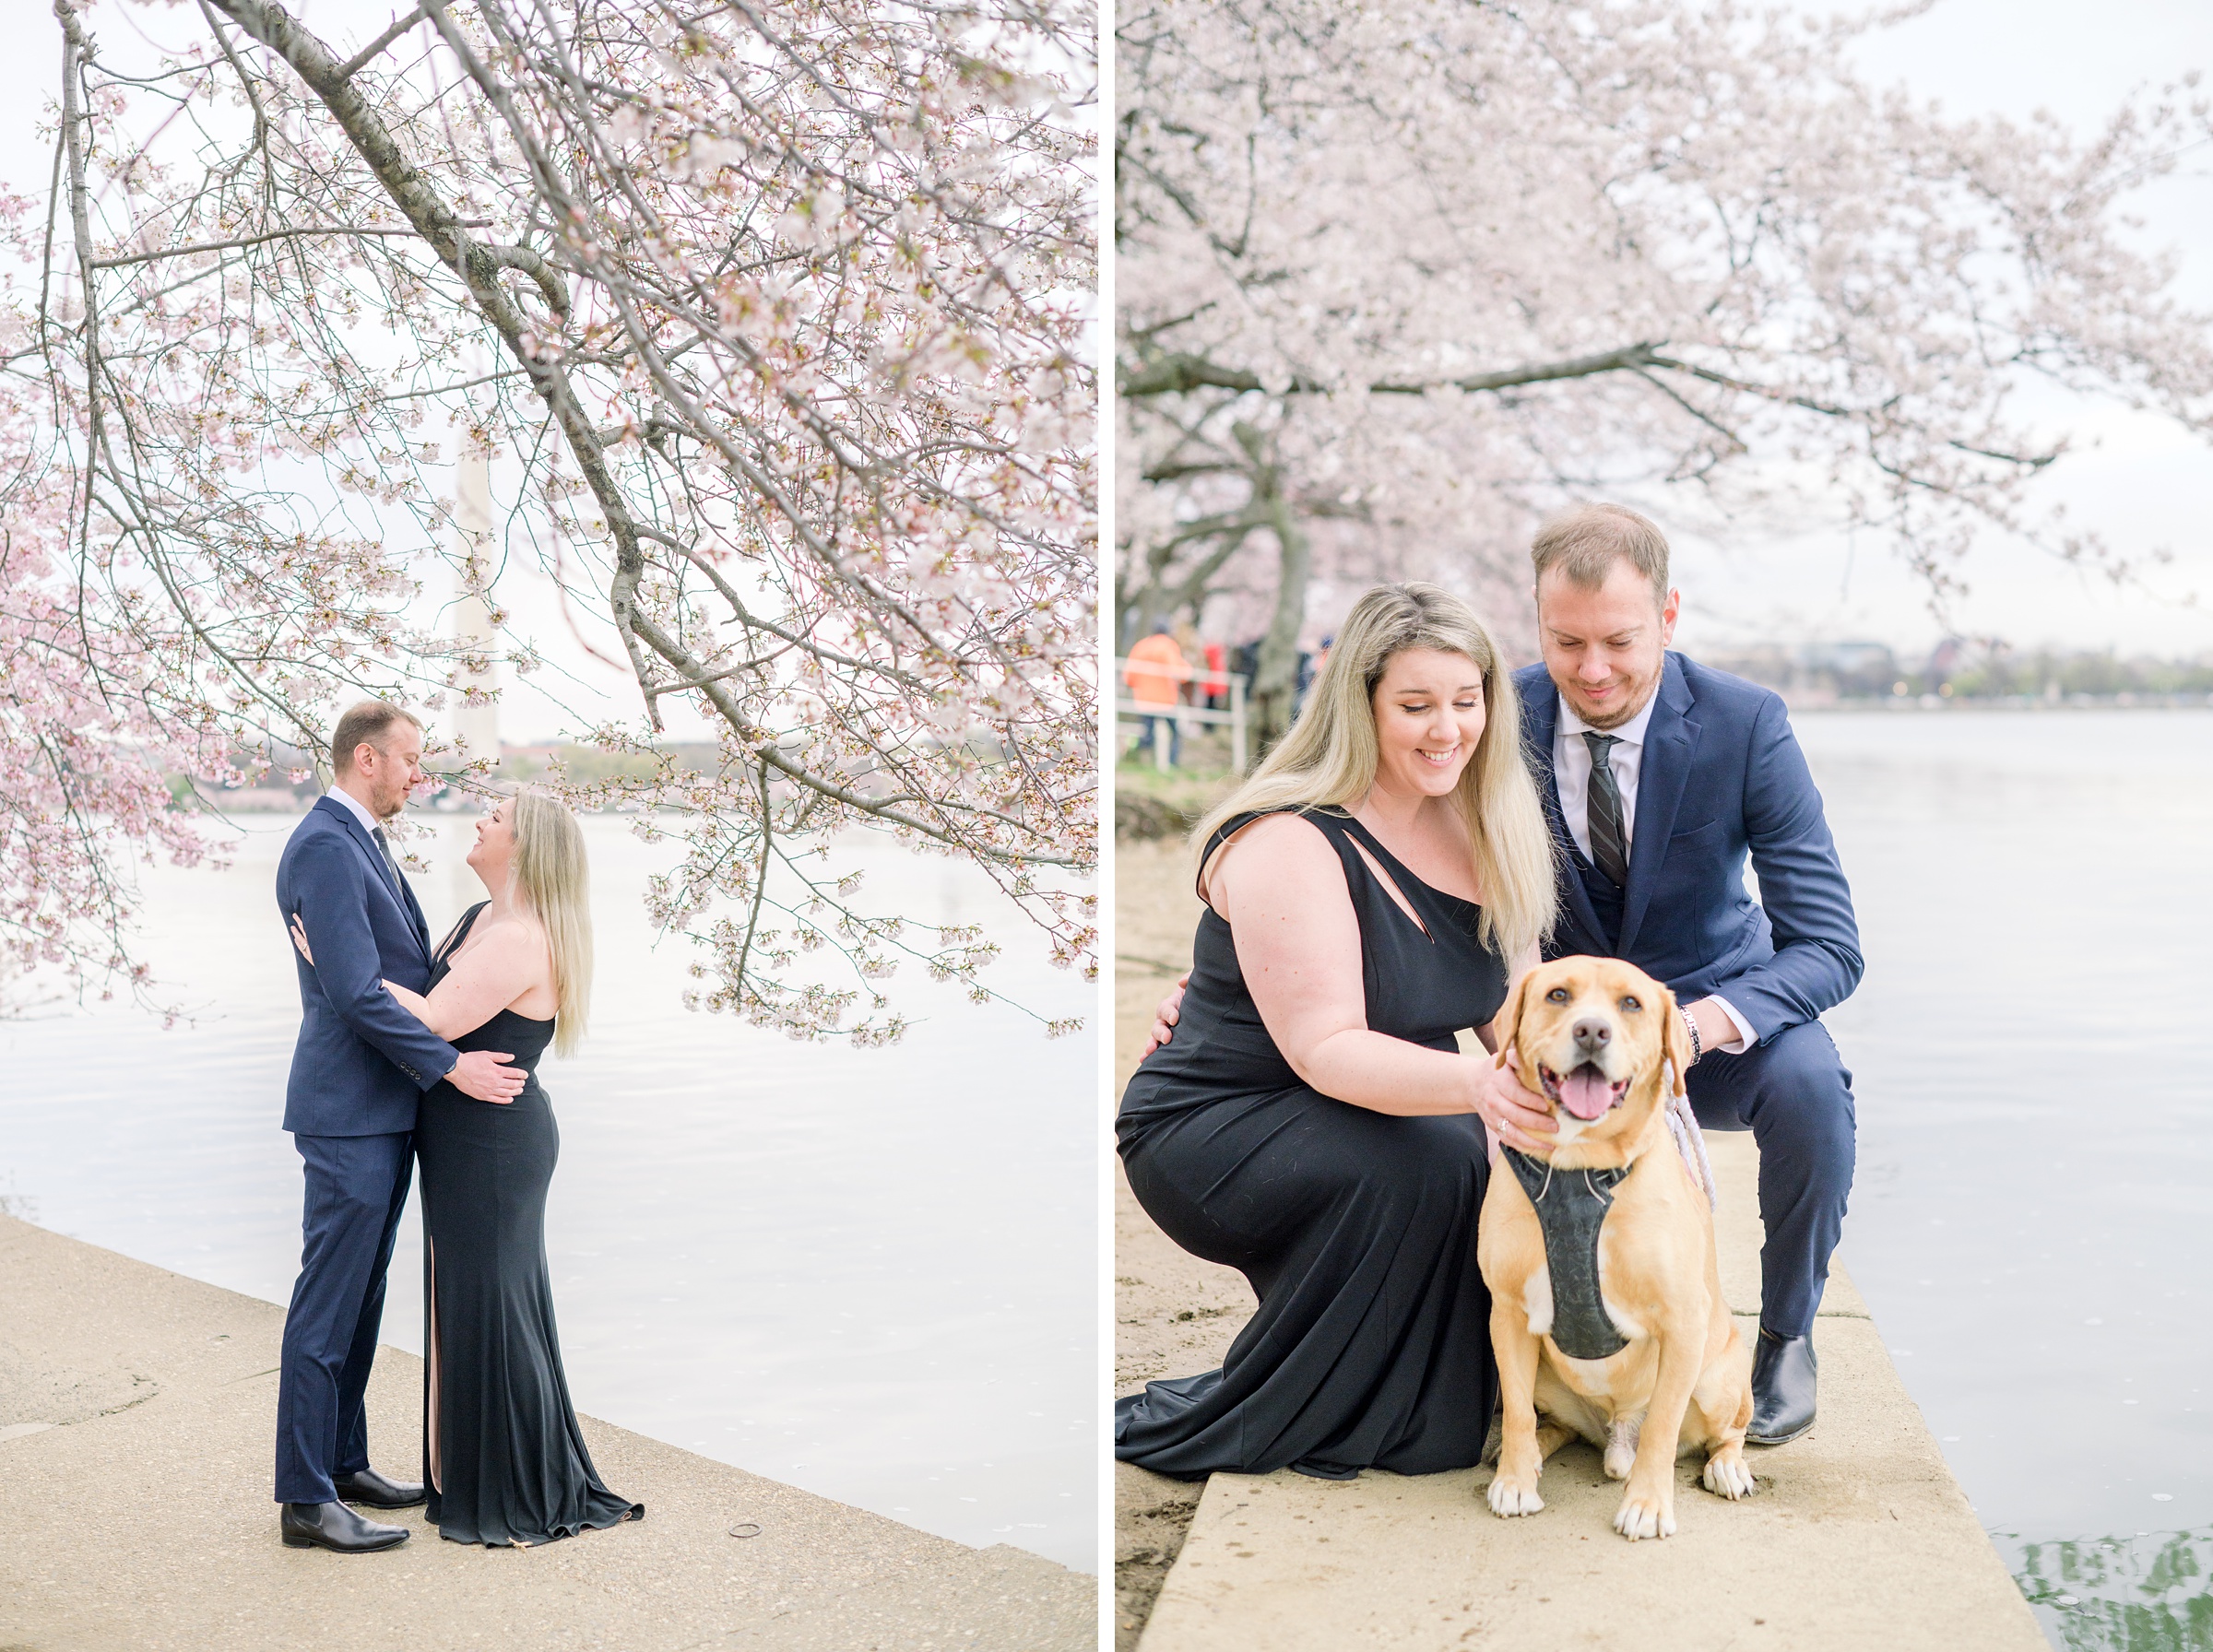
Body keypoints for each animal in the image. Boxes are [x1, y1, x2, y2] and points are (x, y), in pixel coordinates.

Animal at [1478, 955, 1752, 1539]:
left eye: (1631, 1003)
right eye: (1558, 995)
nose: (1591, 1031)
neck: (1579, 1170)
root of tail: (1616, 1433)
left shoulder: (1682, 1322)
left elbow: (1664, 1425)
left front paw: (1647, 1504)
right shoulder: (1508, 1314)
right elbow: (1517, 1413)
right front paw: (1515, 1481)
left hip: (1717, 1379)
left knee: (1726, 1430)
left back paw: (1727, 1467)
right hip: (1547, 1376)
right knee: (1548, 1421)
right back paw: (1531, 1455)